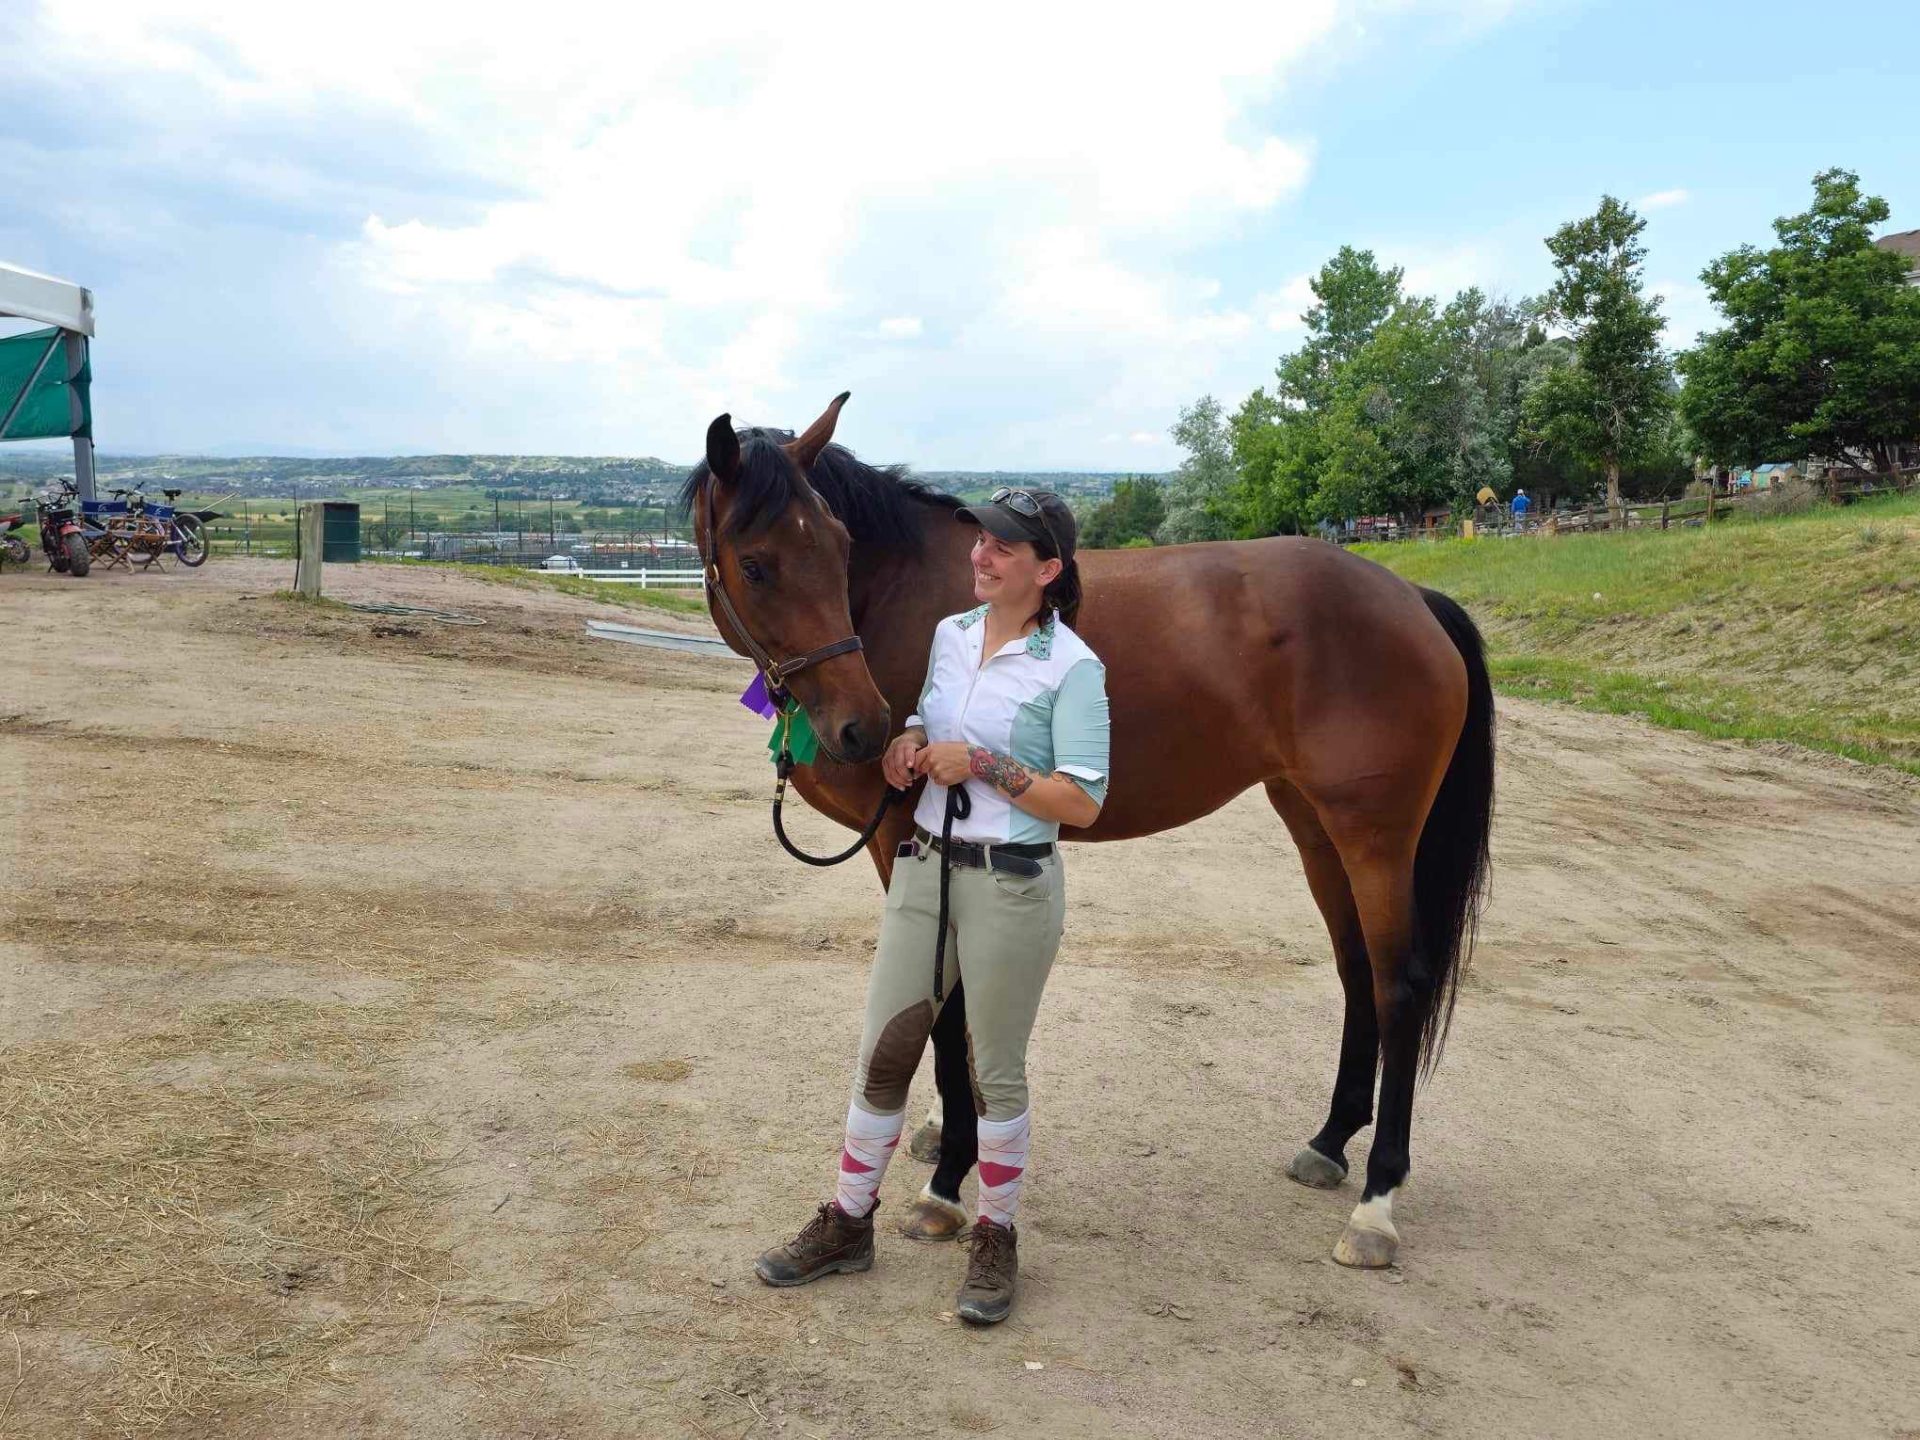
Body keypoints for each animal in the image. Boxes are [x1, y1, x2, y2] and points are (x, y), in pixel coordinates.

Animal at [683, 395, 1494, 1269]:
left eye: (836, 550)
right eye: (758, 564)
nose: (862, 727)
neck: (904, 601)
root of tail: (1412, 596)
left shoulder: (906, 837)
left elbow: (948, 1004)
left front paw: (948, 1182)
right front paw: (948, 1132)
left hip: (1375, 836)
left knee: (1399, 985)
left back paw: (1377, 1203)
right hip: (1313, 826)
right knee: (1356, 975)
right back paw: (1330, 1143)